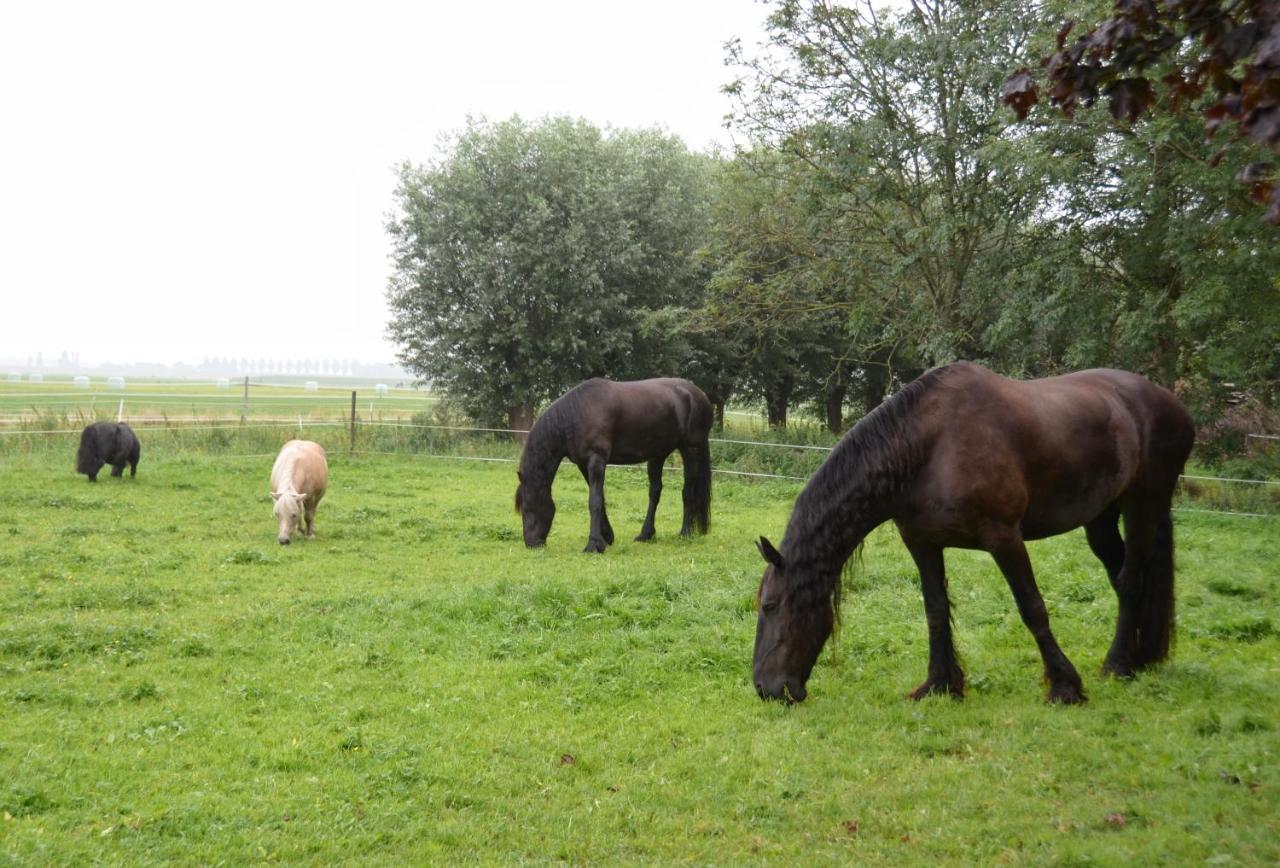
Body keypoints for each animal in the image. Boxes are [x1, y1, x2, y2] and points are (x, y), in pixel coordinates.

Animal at [514, 376, 716, 553]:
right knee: (655, 492)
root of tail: (698, 394)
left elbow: (594, 501)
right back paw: (646, 534)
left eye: (528, 506)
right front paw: (607, 537)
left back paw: (685, 532)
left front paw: (594, 544)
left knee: (688, 491)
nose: (531, 543)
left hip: (690, 449)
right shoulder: (583, 464)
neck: (577, 413)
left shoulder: (597, 460)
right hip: (658, 454)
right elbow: (600, 498)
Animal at [752, 361, 1192, 706]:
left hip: (1143, 504)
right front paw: (939, 684)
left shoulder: (1003, 538)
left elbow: (1032, 608)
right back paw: (1139, 658)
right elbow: (935, 610)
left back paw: (1117, 665)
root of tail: (1170, 402)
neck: (927, 448)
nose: (765, 688)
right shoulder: (921, 542)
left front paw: (1065, 686)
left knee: (1130, 580)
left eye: (770, 606)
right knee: (1121, 577)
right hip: (1100, 518)